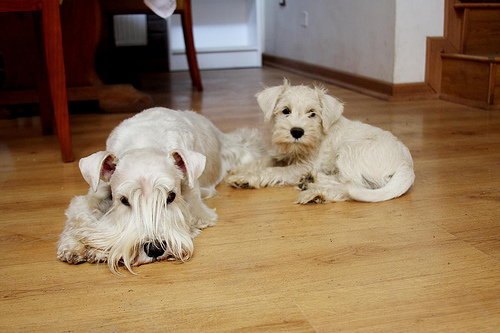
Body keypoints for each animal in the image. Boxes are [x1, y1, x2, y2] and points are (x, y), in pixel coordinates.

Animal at [58, 107, 266, 272]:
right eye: (124, 200)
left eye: (171, 196)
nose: (154, 249)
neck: (144, 142)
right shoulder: (96, 192)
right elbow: (80, 216)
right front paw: (74, 246)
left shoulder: (194, 207)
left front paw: (99, 250)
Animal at [227, 79, 414, 204]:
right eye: (285, 111)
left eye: (312, 113)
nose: (297, 132)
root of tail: (407, 167)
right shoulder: (282, 155)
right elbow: (263, 160)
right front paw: (239, 170)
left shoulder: (302, 166)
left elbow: (273, 171)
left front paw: (246, 178)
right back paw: (312, 181)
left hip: (349, 150)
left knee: (351, 187)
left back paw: (315, 192)